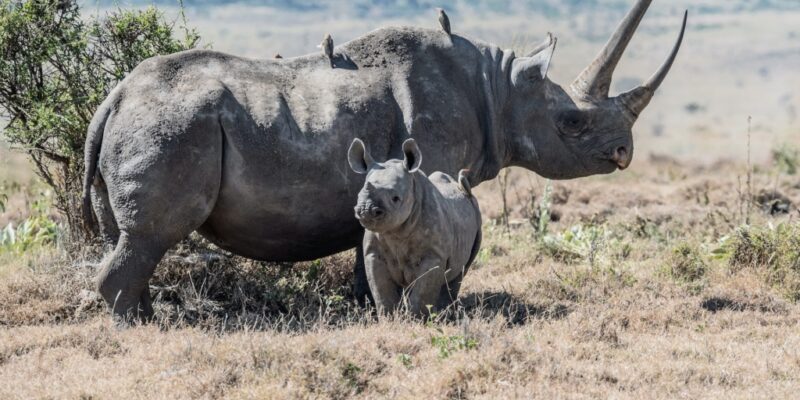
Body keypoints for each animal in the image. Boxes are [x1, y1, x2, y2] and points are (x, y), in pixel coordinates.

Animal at [348, 138, 481, 316]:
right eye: (358, 195)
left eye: (396, 198)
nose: (366, 210)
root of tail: (462, 190)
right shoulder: (373, 253)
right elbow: (381, 289)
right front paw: (389, 317)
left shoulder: (434, 255)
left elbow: (422, 292)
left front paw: (416, 318)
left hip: (476, 215)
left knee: (460, 271)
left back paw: (444, 313)